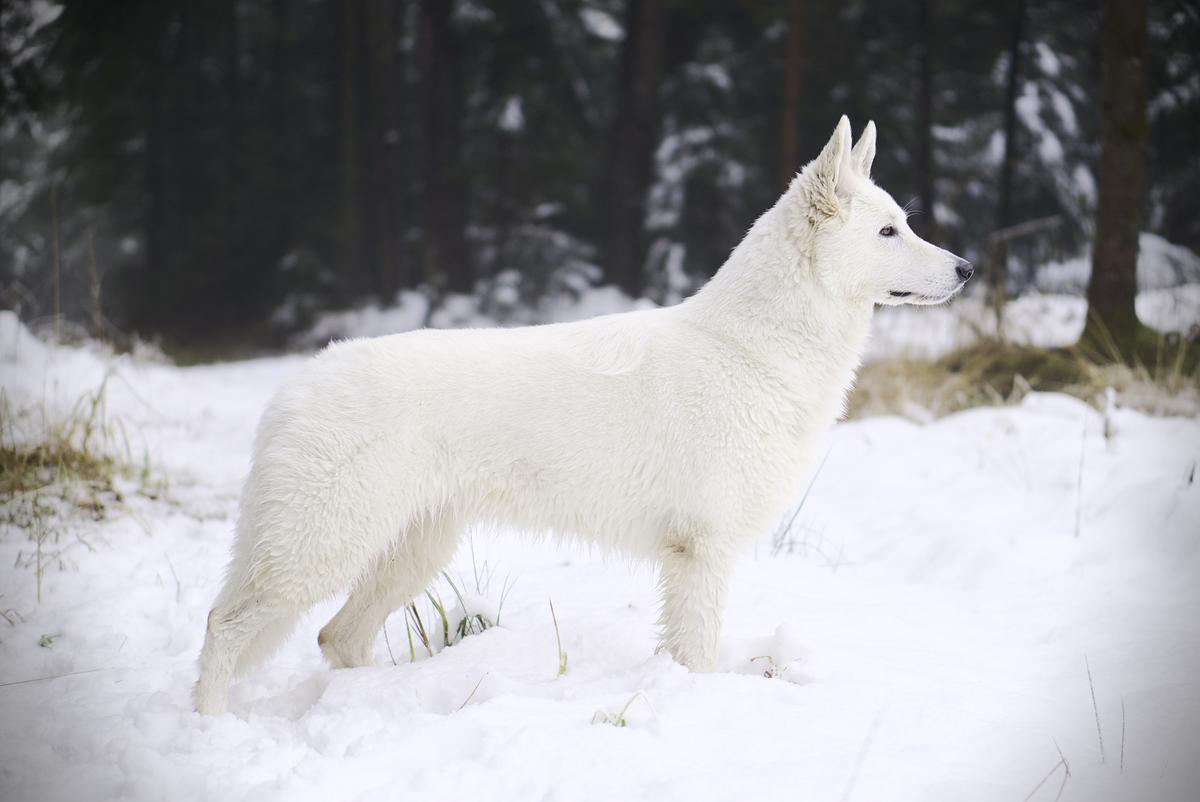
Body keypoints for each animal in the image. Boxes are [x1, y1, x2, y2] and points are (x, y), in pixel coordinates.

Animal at [192, 115, 969, 710]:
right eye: (889, 233)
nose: (967, 269)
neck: (752, 346)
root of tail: (295, 385)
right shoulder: (703, 550)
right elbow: (696, 652)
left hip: (409, 550)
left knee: (336, 637)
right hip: (320, 547)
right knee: (224, 623)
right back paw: (211, 728)